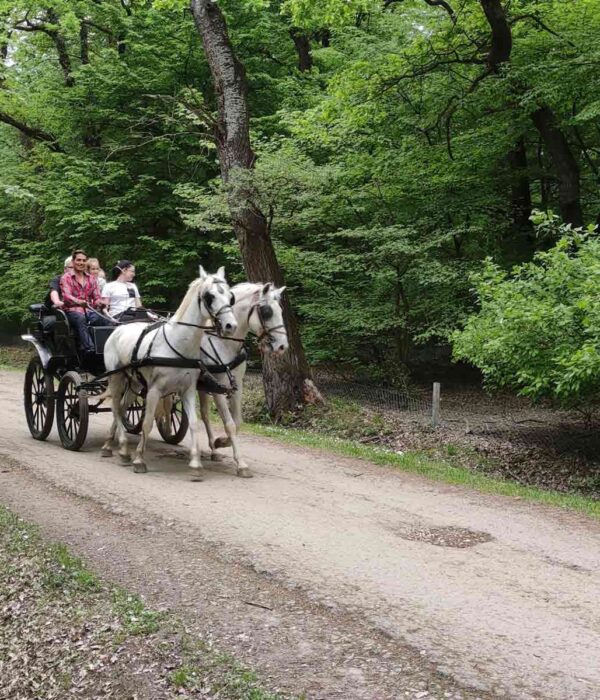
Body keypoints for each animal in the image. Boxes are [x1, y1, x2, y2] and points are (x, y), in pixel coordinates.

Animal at [101, 266, 237, 478]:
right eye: (210, 296)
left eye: (231, 297)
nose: (231, 326)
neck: (178, 343)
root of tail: (118, 329)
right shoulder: (154, 390)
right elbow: (147, 423)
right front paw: (139, 460)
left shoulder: (188, 390)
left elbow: (194, 423)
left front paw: (195, 464)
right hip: (116, 377)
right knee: (115, 407)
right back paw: (119, 445)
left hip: (134, 383)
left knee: (122, 408)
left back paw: (116, 447)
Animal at [198, 282, 290, 478]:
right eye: (266, 311)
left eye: (281, 309)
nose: (282, 346)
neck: (223, 342)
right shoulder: (218, 388)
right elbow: (230, 424)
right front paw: (241, 464)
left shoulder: (237, 385)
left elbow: (238, 422)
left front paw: (220, 442)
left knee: (204, 414)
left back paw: (214, 450)